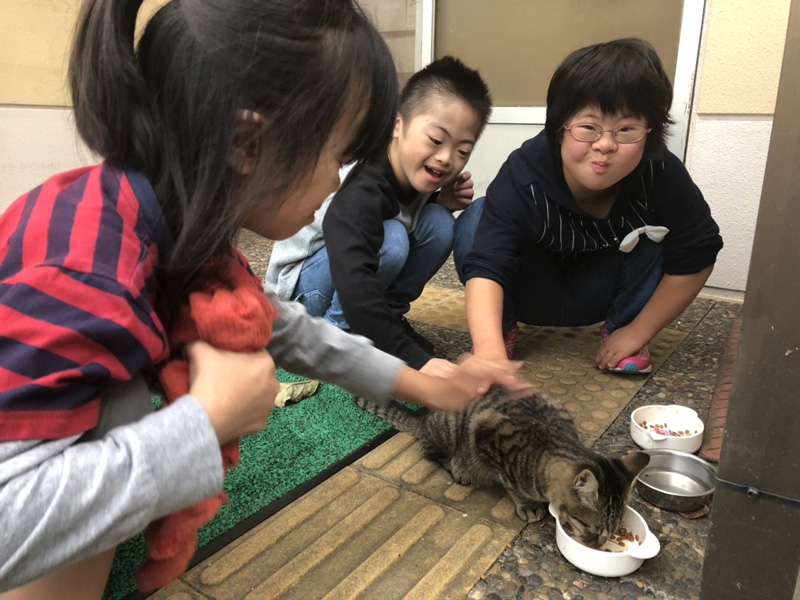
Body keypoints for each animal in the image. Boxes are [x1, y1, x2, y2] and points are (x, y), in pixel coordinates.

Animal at [356, 390, 648, 548]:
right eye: (591, 529)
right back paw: (457, 466)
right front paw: (528, 505)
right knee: (428, 450)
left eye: (612, 531)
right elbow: (510, 483)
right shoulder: (485, 435)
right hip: (450, 426)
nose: (597, 545)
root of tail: (425, 420)